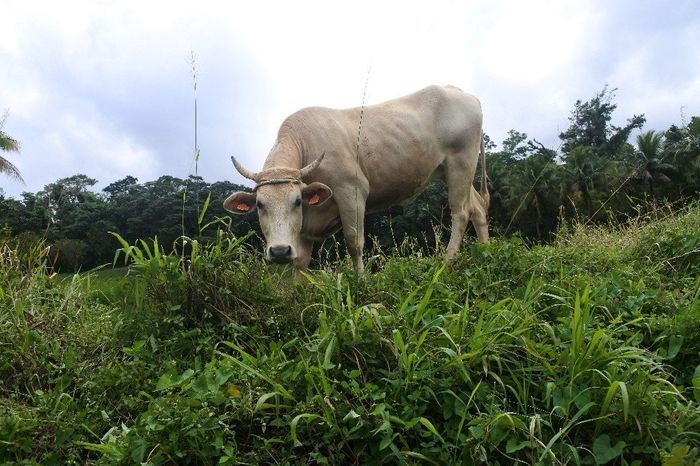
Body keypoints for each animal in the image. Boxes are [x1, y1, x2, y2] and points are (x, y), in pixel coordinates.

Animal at [224, 85, 489, 274]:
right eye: (260, 205)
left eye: (297, 201)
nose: (279, 251)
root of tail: (460, 92)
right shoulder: (305, 225)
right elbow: (301, 260)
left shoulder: (351, 190)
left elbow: (354, 243)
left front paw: (361, 282)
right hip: (451, 170)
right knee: (477, 208)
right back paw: (486, 252)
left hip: (461, 161)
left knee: (461, 212)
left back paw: (446, 263)